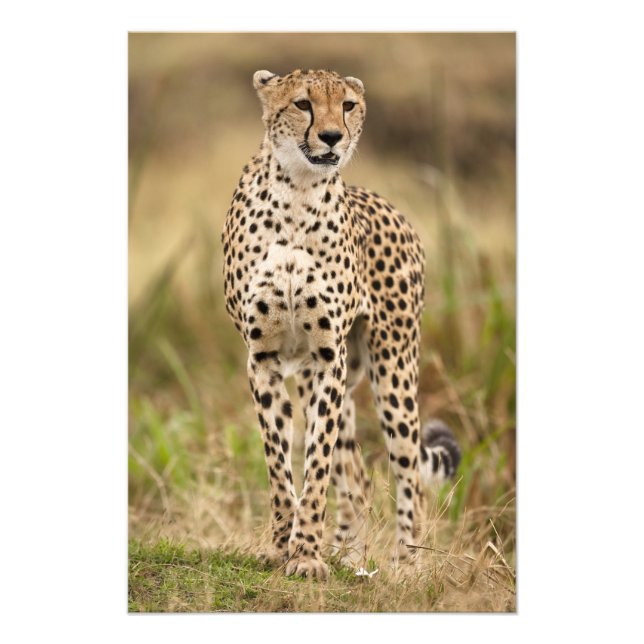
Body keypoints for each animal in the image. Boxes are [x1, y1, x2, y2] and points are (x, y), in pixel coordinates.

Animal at [222, 68, 460, 579]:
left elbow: (316, 466)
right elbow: (279, 463)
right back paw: (349, 558)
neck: (297, 192)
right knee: (357, 478)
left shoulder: (326, 358)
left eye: (348, 105)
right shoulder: (263, 359)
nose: (332, 136)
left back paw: (405, 567)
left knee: (407, 475)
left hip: (393, 370)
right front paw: (282, 546)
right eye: (302, 104)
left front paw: (307, 555)